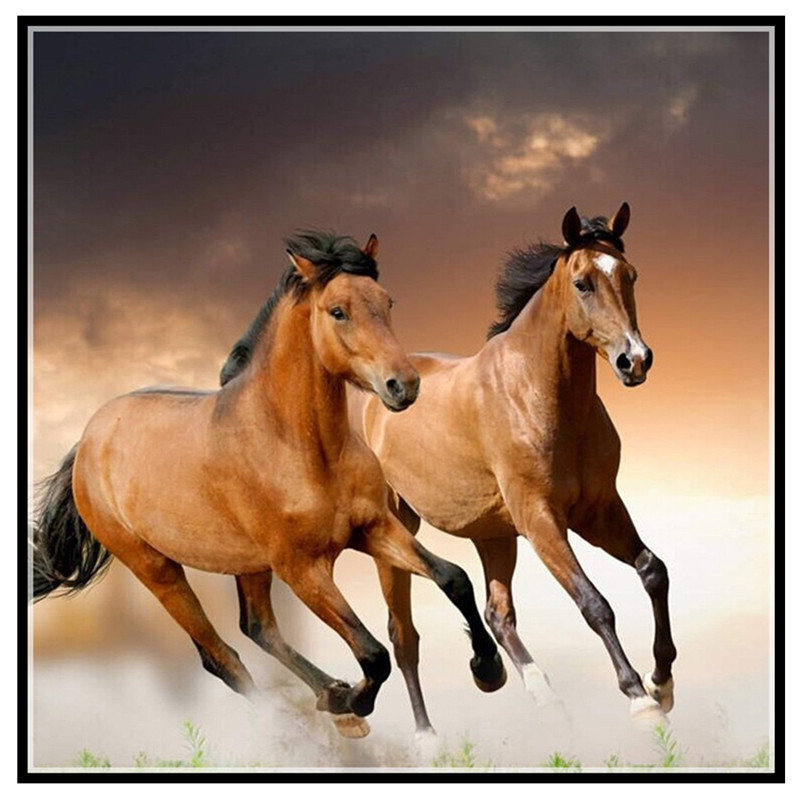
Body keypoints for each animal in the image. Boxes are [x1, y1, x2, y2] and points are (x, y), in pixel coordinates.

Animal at [32, 231, 505, 739]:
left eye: (387, 300)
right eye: (337, 311)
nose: (404, 385)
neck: (302, 448)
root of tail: (87, 441)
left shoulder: (374, 528)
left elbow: (453, 579)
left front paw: (488, 669)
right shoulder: (302, 568)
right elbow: (372, 653)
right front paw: (350, 701)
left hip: (248, 563)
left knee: (257, 627)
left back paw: (331, 700)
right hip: (156, 569)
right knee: (222, 658)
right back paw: (317, 719)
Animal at [360, 205, 677, 734]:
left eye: (630, 275)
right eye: (583, 283)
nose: (635, 360)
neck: (536, 394)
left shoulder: (599, 510)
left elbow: (653, 571)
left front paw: (663, 681)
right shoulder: (541, 520)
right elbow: (594, 604)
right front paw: (639, 697)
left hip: (493, 534)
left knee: (497, 614)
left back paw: (535, 693)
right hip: (396, 532)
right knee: (403, 637)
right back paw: (428, 738)